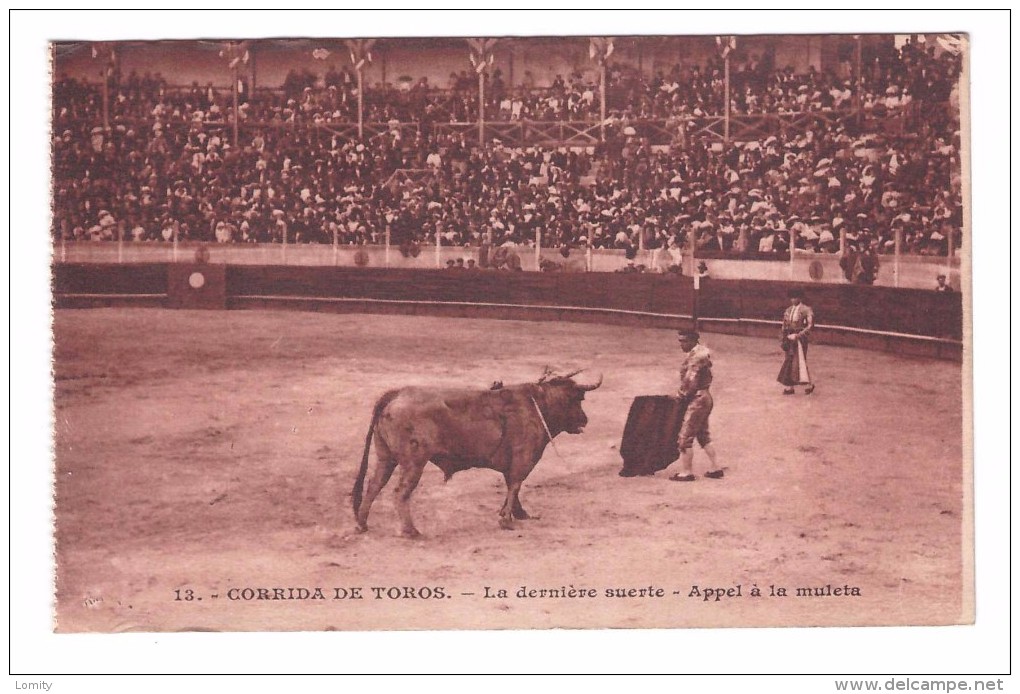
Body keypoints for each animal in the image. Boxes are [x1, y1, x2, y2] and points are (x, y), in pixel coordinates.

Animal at [352, 369, 599, 534]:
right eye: (577, 398)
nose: (585, 420)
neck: (537, 405)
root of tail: (397, 393)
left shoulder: (512, 463)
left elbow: (513, 487)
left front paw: (518, 514)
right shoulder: (524, 458)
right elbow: (516, 484)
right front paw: (507, 520)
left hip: (385, 457)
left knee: (374, 485)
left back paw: (362, 524)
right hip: (414, 462)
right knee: (400, 492)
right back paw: (411, 531)